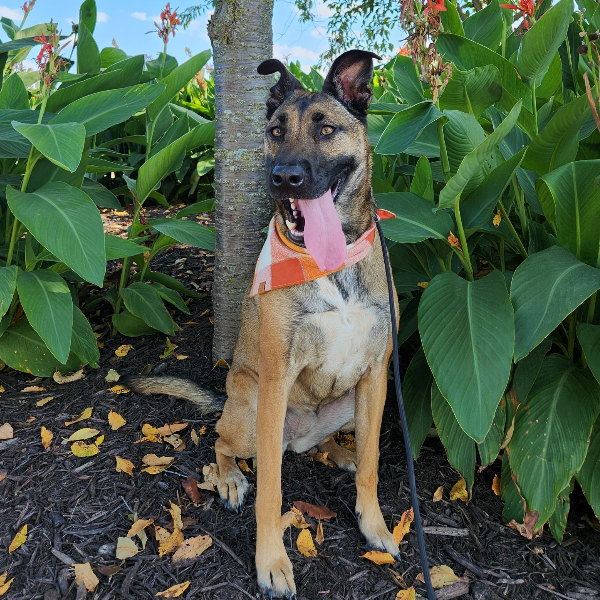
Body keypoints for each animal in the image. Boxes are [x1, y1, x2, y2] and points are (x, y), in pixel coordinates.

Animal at [126, 49, 398, 596]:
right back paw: (231, 478)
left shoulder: (377, 373)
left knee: (332, 443)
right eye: (275, 131)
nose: (284, 177)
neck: (331, 263)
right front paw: (272, 562)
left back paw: (338, 451)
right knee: (223, 444)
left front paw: (374, 523)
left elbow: (373, 465)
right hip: (250, 410)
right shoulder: (276, 381)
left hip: (351, 402)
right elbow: (270, 490)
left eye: (326, 129)